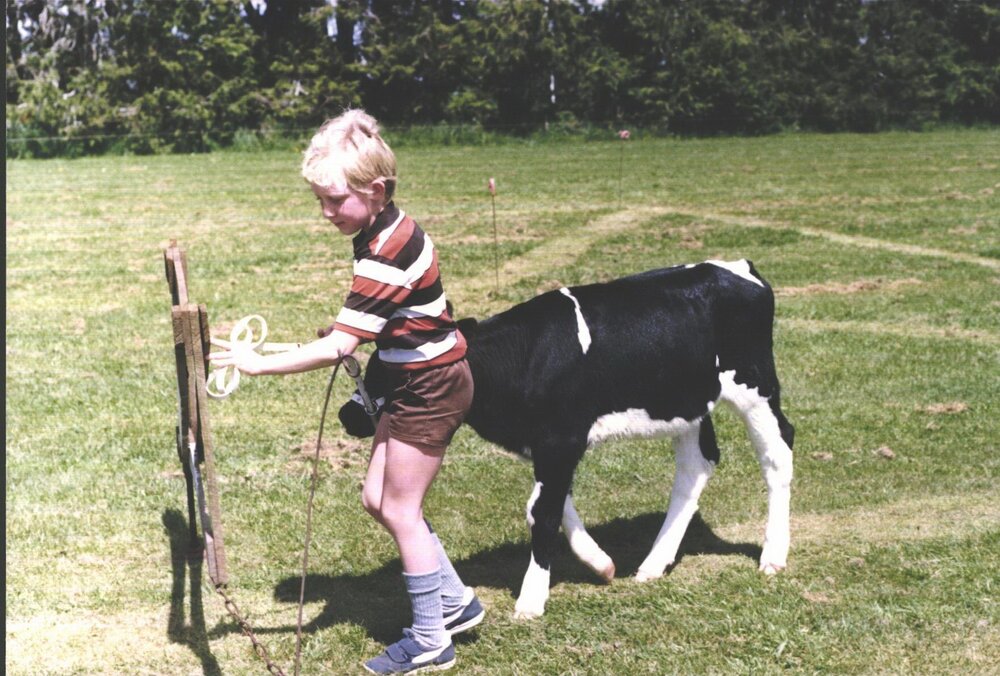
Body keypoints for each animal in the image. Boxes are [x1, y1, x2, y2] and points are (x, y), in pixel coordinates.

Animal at [337, 260, 795, 619]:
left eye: (389, 374)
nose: (346, 415)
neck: (519, 359)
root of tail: (736, 268)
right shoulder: (549, 444)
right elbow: (554, 503)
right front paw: (601, 563)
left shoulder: (560, 439)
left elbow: (540, 511)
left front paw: (531, 599)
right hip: (687, 402)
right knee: (697, 464)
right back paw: (653, 563)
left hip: (756, 386)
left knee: (777, 453)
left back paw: (773, 555)